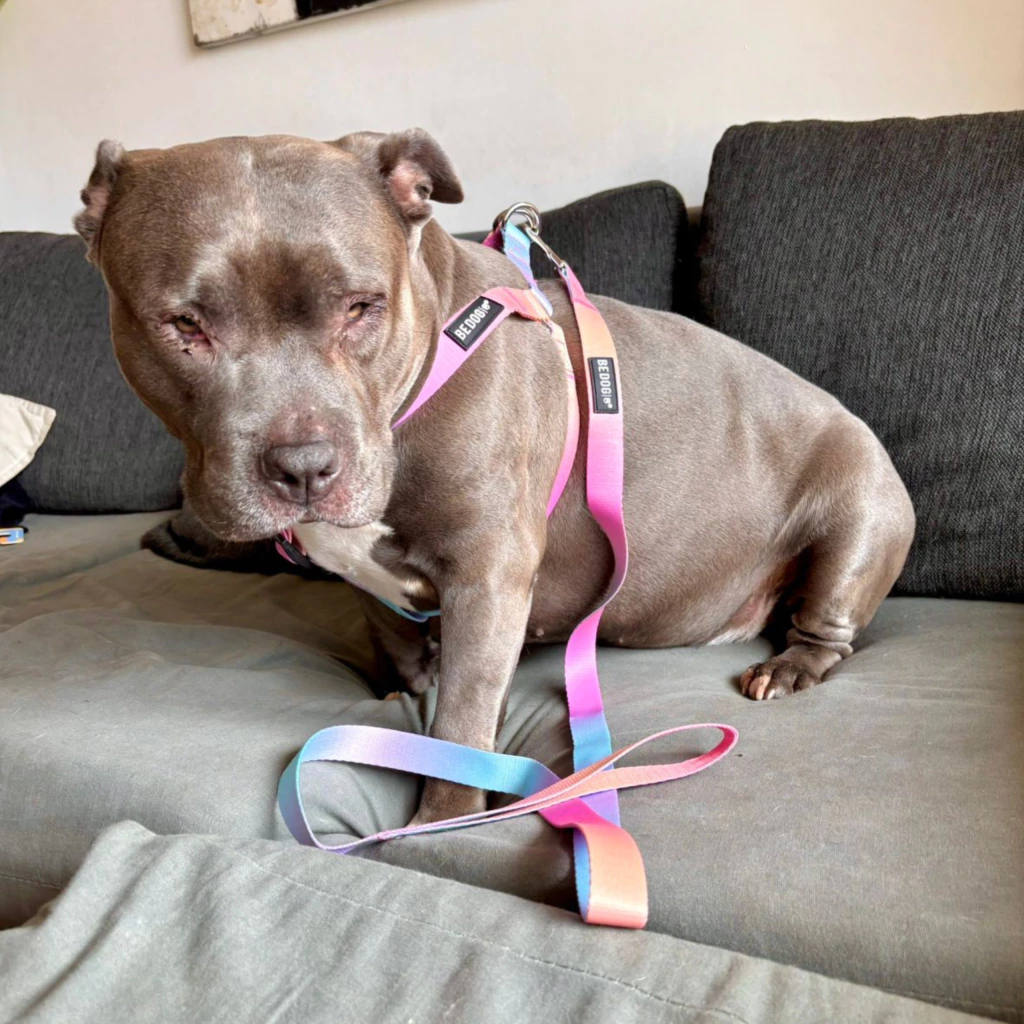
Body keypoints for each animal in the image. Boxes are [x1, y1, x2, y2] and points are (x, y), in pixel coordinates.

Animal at [75, 129, 915, 824]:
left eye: (362, 307)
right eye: (183, 325)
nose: (305, 466)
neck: (427, 364)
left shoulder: (488, 572)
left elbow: (464, 716)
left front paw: (442, 820)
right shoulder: (376, 586)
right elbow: (405, 650)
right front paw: (406, 698)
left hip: (858, 509)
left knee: (829, 626)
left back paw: (789, 667)